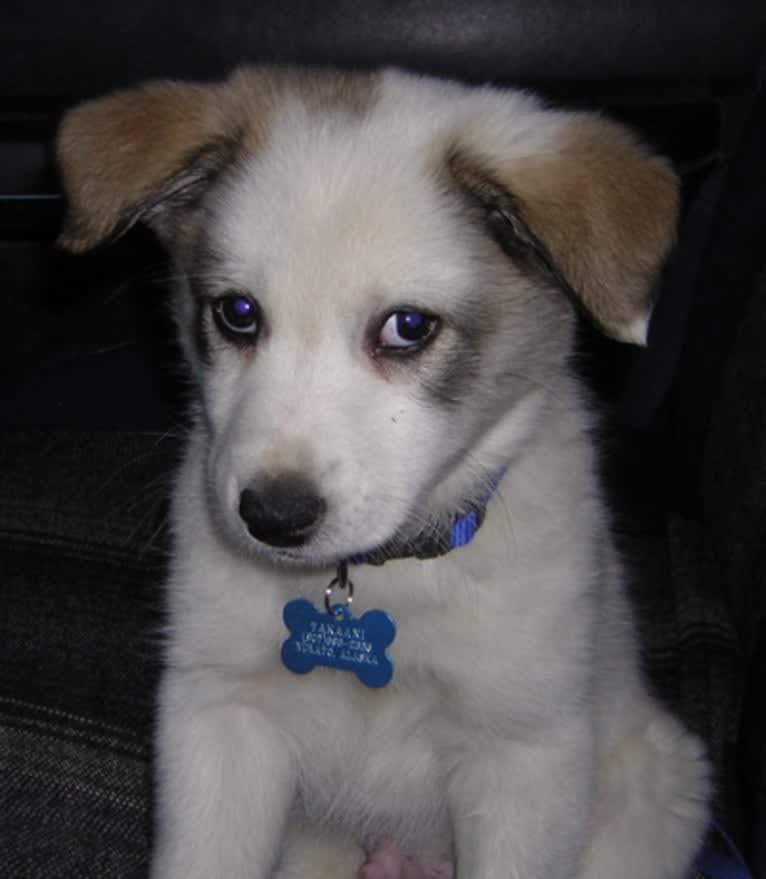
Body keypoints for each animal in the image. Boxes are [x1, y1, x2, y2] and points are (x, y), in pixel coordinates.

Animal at [57, 67, 712, 879]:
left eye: (408, 327)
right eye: (237, 312)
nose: (272, 517)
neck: (377, 578)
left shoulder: (526, 758)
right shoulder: (220, 713)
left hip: (657, 787)